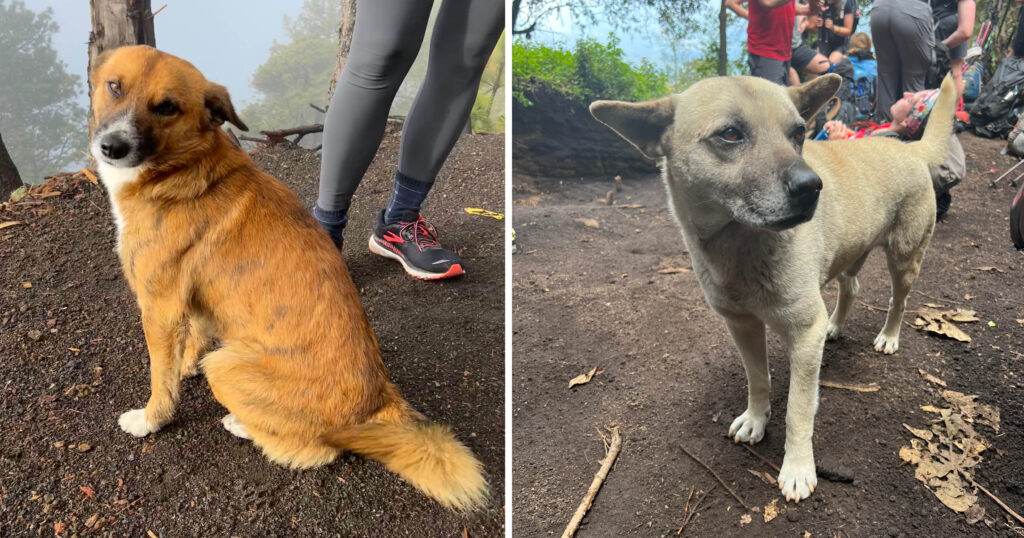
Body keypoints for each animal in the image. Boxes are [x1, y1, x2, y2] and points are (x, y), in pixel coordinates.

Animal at [88, 45, 487, 508]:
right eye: (114, 86)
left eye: (166, 107)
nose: (112, 147)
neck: (182, 166)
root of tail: (377, 407)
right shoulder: (193, 301)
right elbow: (192, 340)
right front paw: (185, 365)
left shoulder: (159, 307)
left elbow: (161, 378)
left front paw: (151, 419)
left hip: (226, 367)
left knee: (317, 451)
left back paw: (243, 424)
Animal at [589, 73, 954, 502]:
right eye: (730, 134)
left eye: (798, 133)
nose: (812, 186)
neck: (741, 247)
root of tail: (911, 148)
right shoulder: (742, 326)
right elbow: (758, 379)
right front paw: (755, 419)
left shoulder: (804, 336)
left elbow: (798, 410)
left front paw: (797, 467)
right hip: (850, 253)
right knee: (852, 287)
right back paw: (835, 325)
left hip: (904, 258)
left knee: (899, 300)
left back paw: (890, 336)